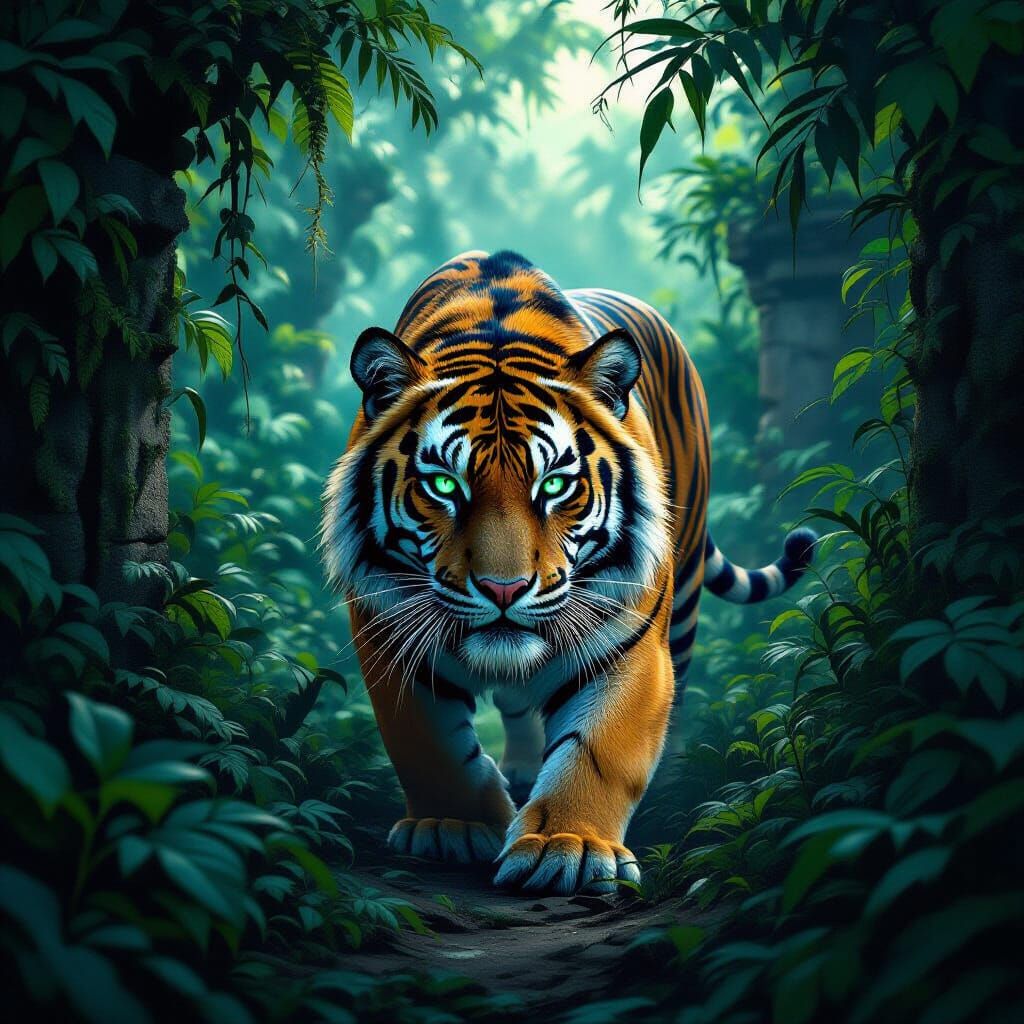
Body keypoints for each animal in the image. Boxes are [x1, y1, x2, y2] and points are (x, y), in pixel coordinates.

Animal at [321, 250, 815, 895]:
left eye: (555, 484)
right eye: (445, 486)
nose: (503, 589)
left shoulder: (629, 641)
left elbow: (599, 749)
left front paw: (570, 847)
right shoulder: (388, 631)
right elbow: (428, 743)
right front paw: (454, 827)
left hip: (682, 597)